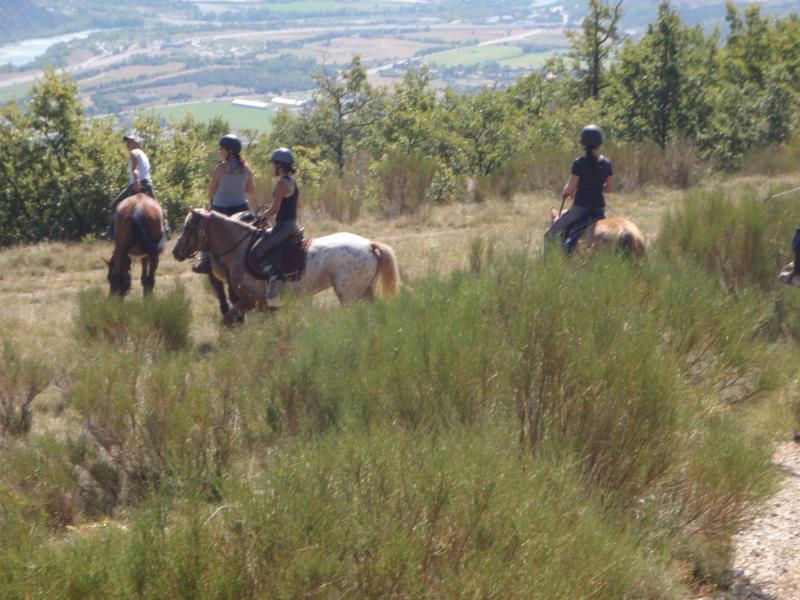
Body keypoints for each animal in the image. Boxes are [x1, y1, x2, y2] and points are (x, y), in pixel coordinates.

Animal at [175, 210, 400, 326]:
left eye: (189, 227)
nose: (176, 252)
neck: (241, 248)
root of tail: (369, 245)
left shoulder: (250, 300)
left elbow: (228, 318)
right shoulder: (263, 305)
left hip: (349, 294)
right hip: (365, 290)